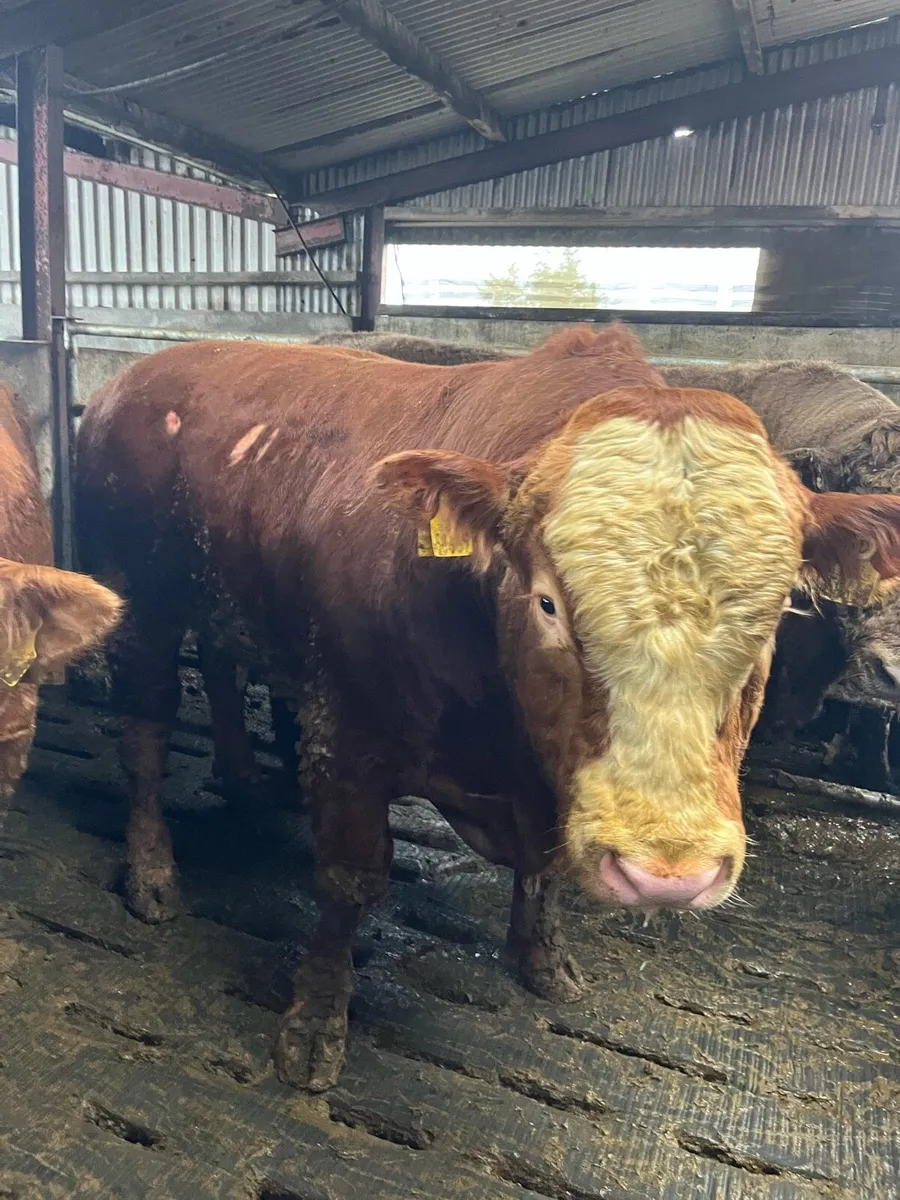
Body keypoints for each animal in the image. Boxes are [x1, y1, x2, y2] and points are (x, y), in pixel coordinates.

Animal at [75, 323, 900, 1092]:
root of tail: (140, 373)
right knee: (144, 737)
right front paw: (313, 1026)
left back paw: (244, 782)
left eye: (775, 613)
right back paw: (153, 874)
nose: (668, 874)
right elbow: (349, 882)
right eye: (548, 603)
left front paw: (543, 959)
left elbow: (544, 871)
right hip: (138, 600)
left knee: (220, 667)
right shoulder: (346, 734)